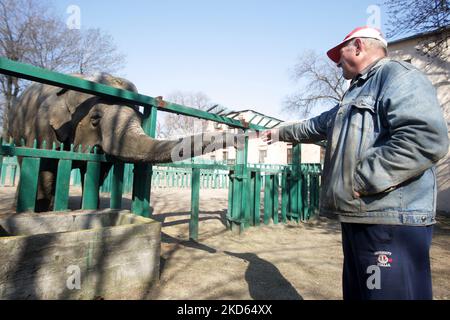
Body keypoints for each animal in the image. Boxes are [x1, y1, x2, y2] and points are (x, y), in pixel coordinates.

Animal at [7, 73, 244, 212]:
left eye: (140, 118)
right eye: (95, 119)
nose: (241, 137)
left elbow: (98, 172)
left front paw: (91, 210)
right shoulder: (41, 127)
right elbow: (45, 164)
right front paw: (41, 212)